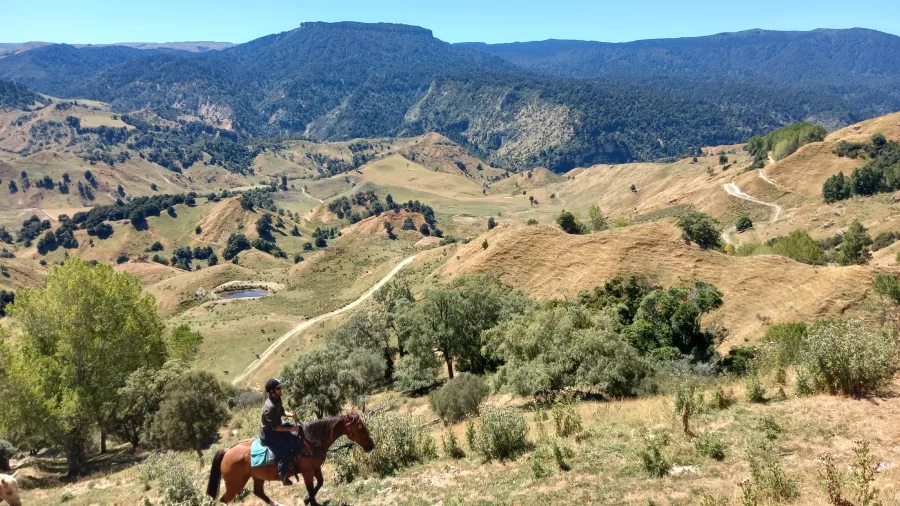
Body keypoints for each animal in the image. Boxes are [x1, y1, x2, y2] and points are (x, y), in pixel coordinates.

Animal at [207, 412, 374, 506]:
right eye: (360, 428)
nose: (371, 446)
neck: (310, 441)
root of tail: (227, 451)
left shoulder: (315, 468)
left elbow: (319, 484)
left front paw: (307, 500)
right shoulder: (307, 471)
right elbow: (310, 488)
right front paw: (310, 501)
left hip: (257, 477)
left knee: (259, 493)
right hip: (235, 485)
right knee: (224, 500)